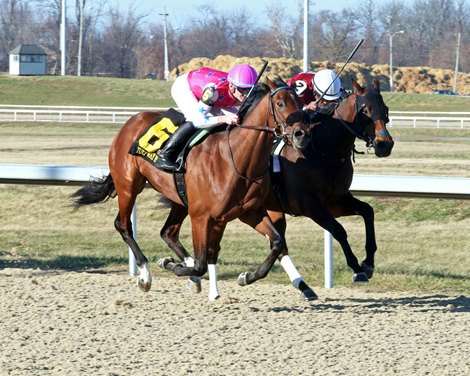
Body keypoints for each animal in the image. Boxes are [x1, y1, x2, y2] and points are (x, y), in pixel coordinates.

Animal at [70, 77, 306, 300]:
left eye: (300, 103)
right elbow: (201, 263)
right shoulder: (201, 216)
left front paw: (246, 277)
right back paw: (146, 275)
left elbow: (276, 242)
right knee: (124, 225)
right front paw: (170, 265)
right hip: (128, 186)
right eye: (281, 103)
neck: (237, 160)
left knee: (168, 232)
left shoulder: (248, 212)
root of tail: (131, 121)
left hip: (179, 198)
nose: (300, 134)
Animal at [157, 78, 392, 300]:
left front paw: (368, 262)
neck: (321, 151)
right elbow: (339, 230)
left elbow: (367, 212)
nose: (385, 144)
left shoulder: (336, 200)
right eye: (365, 111)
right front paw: (357, 268)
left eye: (385, 109)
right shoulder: (310, 205)